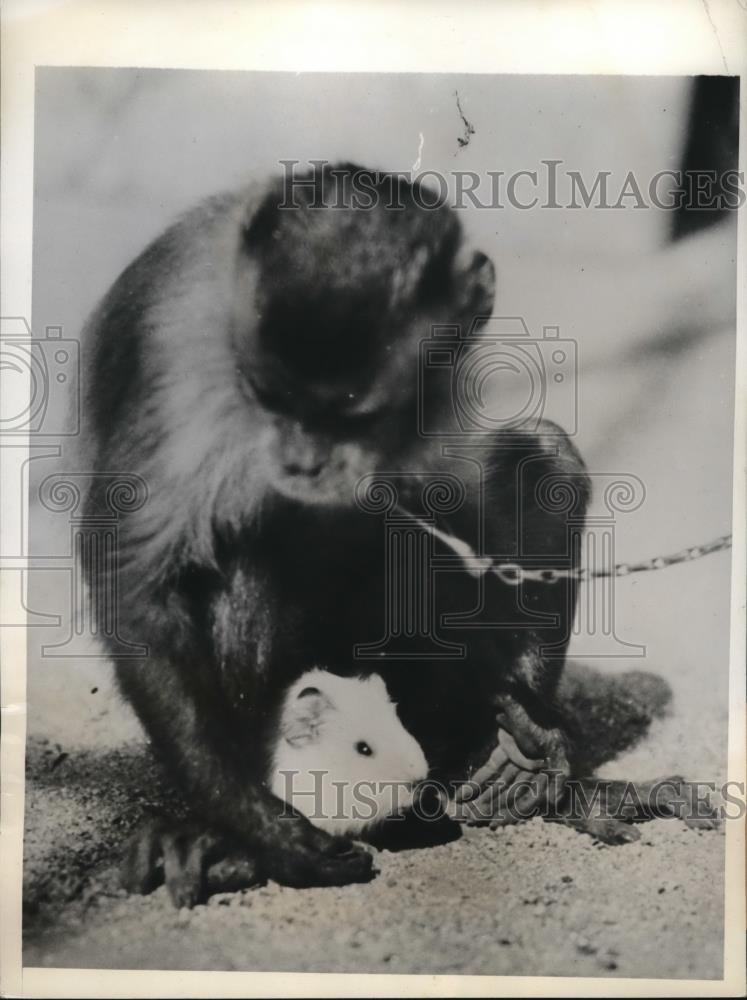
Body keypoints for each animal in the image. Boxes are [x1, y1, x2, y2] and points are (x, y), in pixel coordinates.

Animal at [82, 160, 592, 904]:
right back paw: (223, 837)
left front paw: (523, 712)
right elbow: (138, 584)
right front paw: (254, 823)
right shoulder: (174, 349)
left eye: (353, 412)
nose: (302, 460)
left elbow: (509, 486)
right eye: (273, 399)